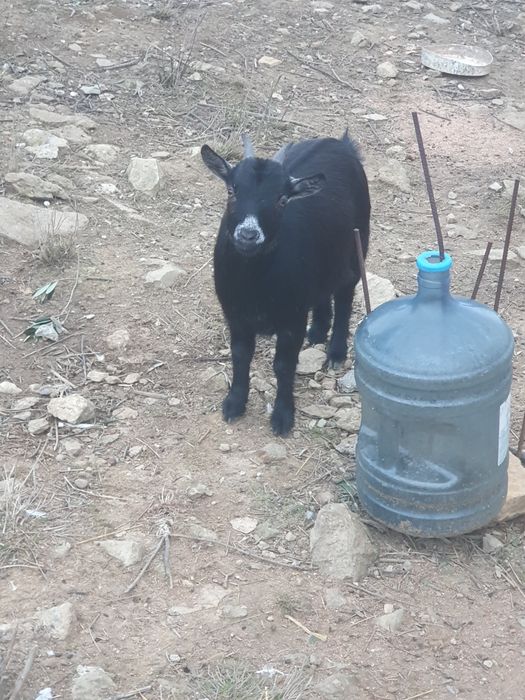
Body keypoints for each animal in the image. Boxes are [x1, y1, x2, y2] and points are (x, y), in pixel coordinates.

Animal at [201, 131, 371, 436]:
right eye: (232, 191)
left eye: (282, 199)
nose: (248, 234)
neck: (255, 283)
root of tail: (342, 143)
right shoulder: (234, 314)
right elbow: (240, 355)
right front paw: (234, 404)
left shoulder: (292, 318)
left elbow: (284, 365)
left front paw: (282, 416)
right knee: (323, 292)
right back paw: (318, 330)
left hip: (357, 244)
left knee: (345, 295)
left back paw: (336, 351)